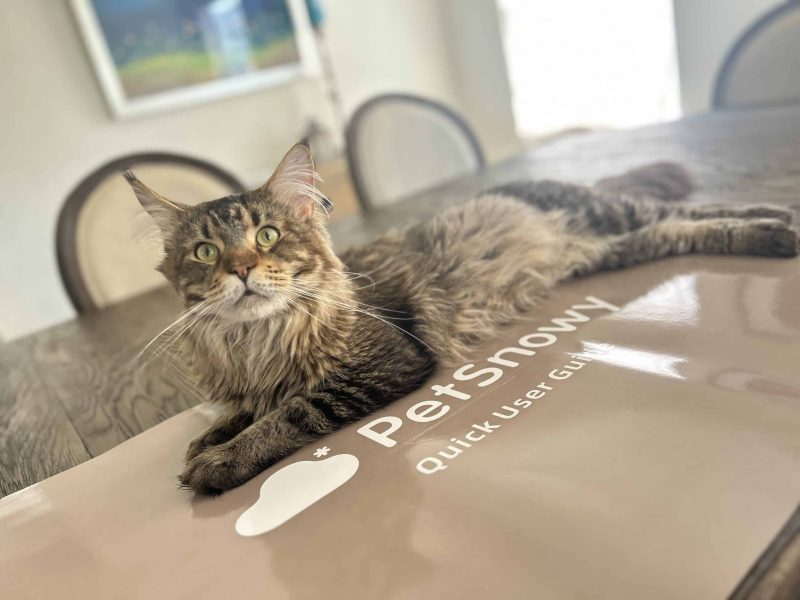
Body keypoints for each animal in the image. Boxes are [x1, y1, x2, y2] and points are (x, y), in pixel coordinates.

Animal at [125, 143, 800, 494]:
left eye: (266, 235)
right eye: (205, 253)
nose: (240, 269)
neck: (254, 337)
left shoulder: (384, 360)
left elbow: (289, 412)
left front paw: (221, 462)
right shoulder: (253, 383)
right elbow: (240, 412)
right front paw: (207, 441)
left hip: (612, 216)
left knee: (701, 207)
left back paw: (778, 224)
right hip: (617, 245)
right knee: (683, 224)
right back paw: (773, 227)